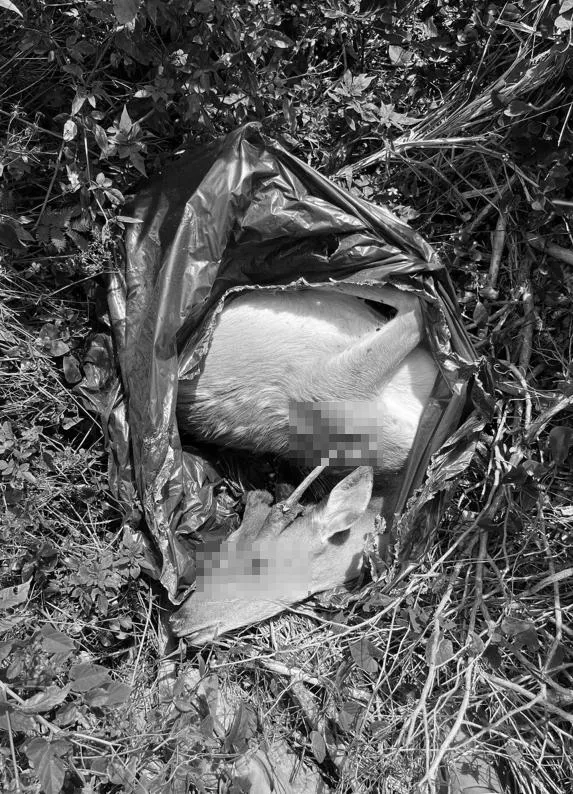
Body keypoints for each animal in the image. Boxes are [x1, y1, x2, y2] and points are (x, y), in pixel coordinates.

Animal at [171, 283, 439, 643]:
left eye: (257, 562)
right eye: (225, 545)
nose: (179, 621)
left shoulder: (330, 390)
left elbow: (411, 308)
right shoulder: (329, 389)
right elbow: (413, 308)